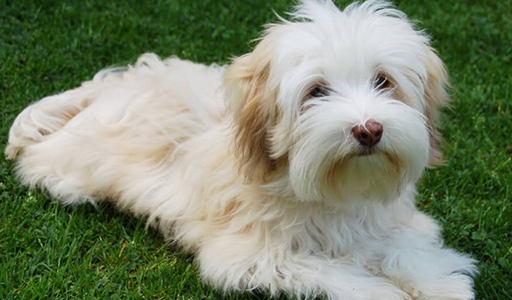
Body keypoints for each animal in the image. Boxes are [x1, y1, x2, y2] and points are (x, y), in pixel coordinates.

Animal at [5, 0, 476, 300]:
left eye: (383, 81)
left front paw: (439, 284)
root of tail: (108, 87)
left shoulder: (392, 222)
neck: (335, 189)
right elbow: (340, 273)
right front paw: (384, 291)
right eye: (317, 91)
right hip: (72, 166)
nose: (369, 130)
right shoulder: (252, 256)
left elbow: (407, 249)